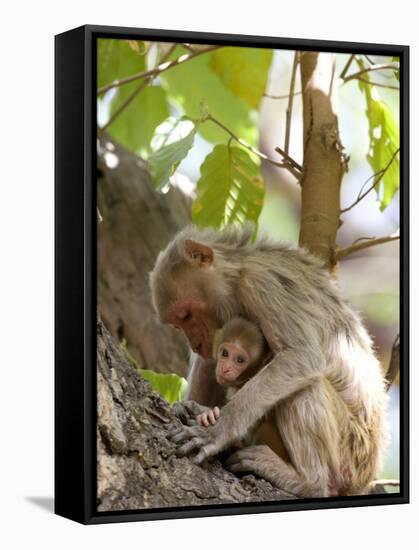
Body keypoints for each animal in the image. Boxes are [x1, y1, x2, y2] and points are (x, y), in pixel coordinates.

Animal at [149, 225, 388, 500]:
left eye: (186, 315)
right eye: (178, 324)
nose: (195, 344)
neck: (239, 273)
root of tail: (366, 476)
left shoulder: (261, 284)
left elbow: (302, 357)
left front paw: (217, 431)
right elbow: (211, 363)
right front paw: (197, 410)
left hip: (349, 451)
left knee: (305, 387)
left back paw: (310, 483)